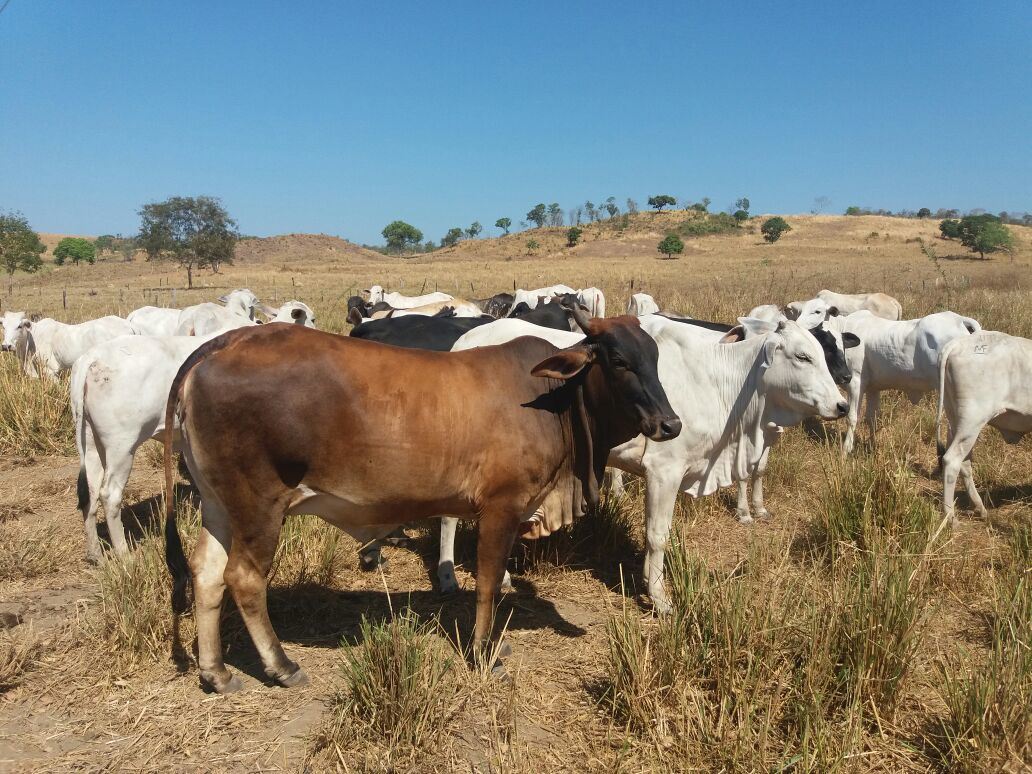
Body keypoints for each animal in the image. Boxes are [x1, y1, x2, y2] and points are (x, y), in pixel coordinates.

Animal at [165, 305, 681, 693]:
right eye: (618, 360)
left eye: (655, 359)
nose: (670, 424)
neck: (552, 397)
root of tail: (221, 345)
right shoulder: (502, 507)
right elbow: (488, 584)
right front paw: (485, 652)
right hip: (259, 505)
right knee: (244, 578)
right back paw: (281, 665)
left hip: (219, 505)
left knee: (206, 574)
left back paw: (216, 672)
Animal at [829, 309, 982, 454]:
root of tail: (960, 319)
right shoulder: (873, 388)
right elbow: (872, 419)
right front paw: (871, 447)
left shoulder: (855, 382)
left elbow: (852, 417)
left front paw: (846, 450)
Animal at [937, 334, 1032, 528]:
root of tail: (958, 343)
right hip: (972, 421)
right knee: (951, 461)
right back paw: (951, 517)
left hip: (956, 422)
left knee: (964, 463)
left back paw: (980, 509)